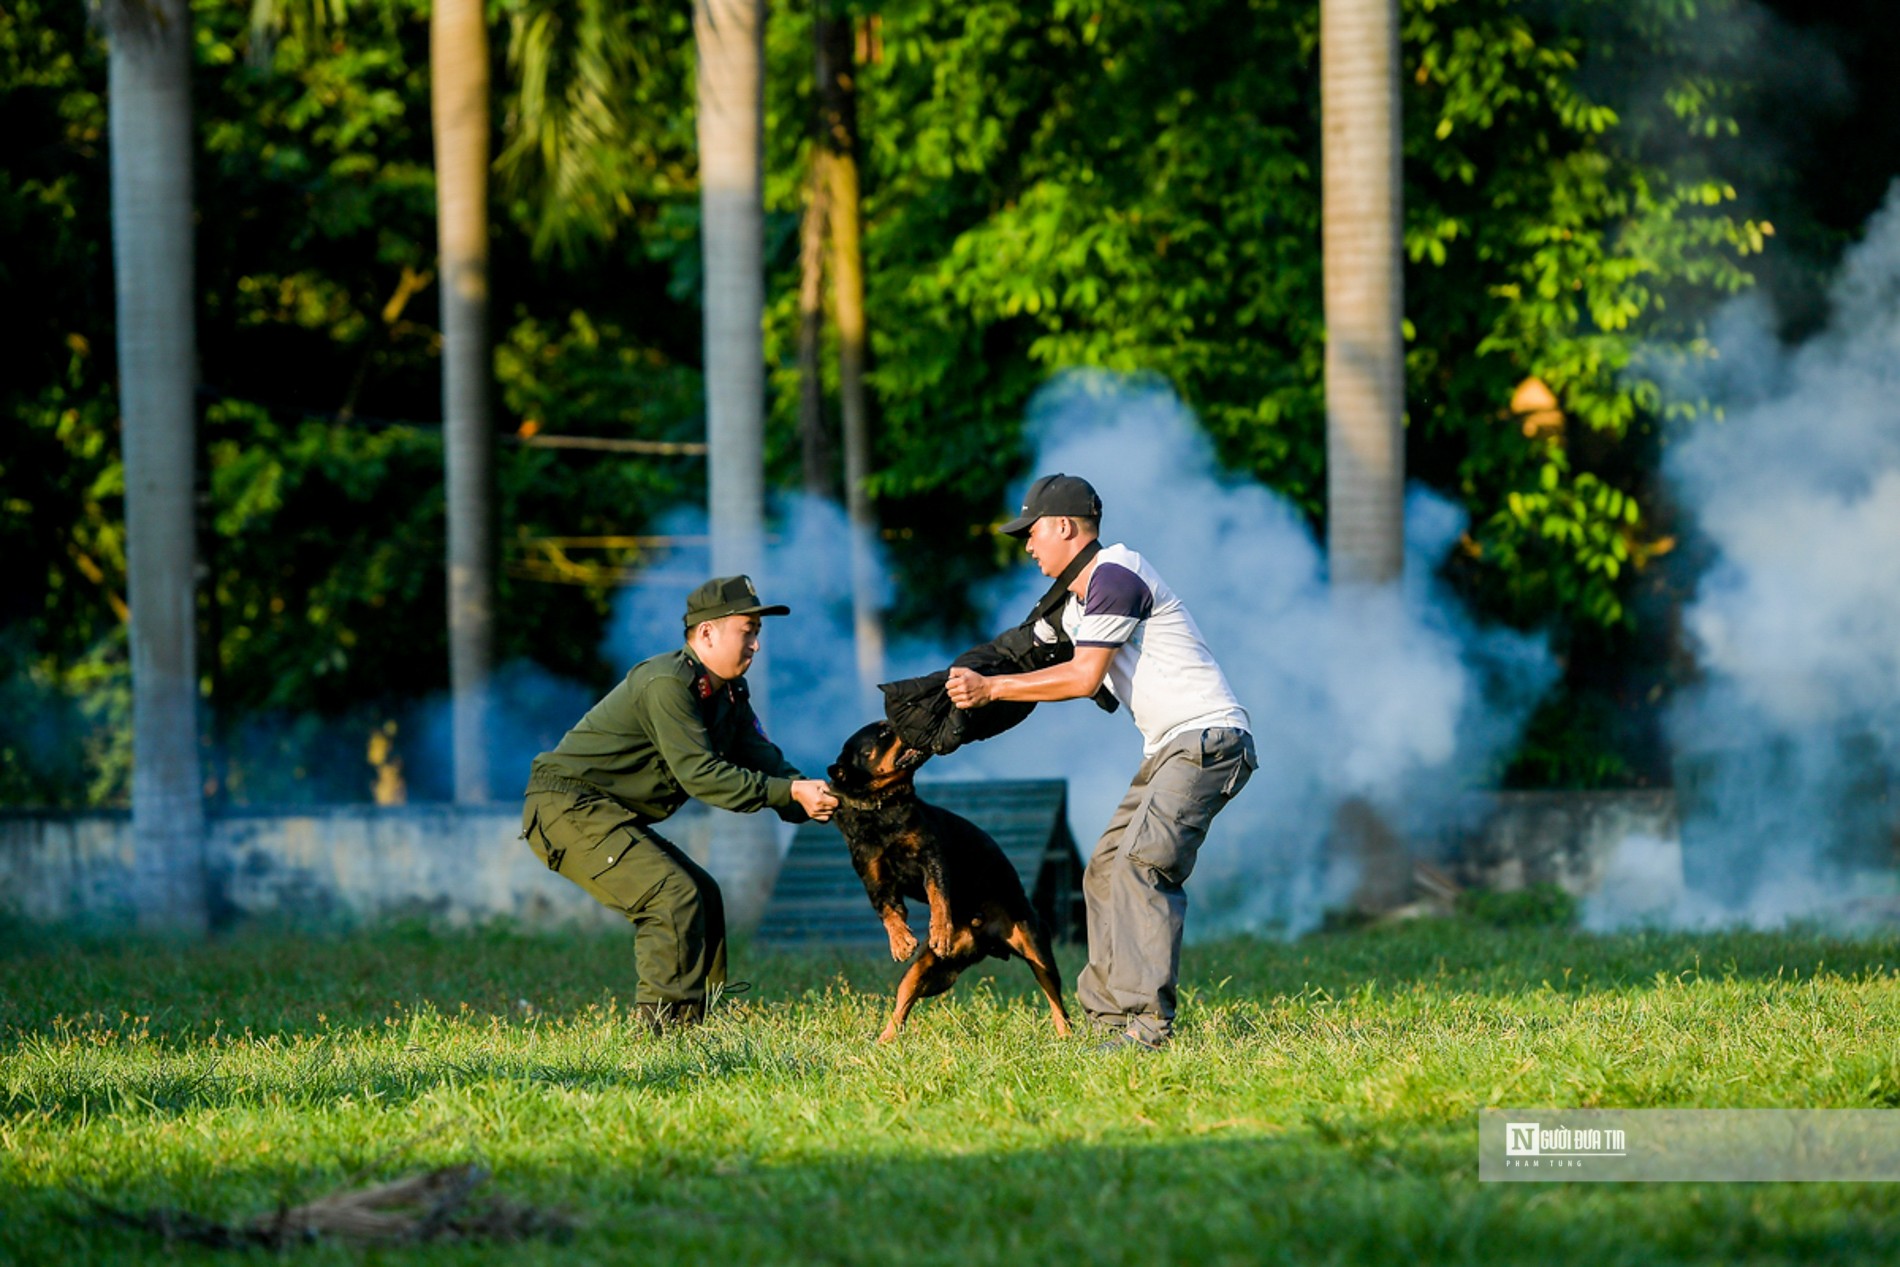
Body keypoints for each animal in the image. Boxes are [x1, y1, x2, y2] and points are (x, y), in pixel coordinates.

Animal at [828, 718, 1079, 1048]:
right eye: (883, 732)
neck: (883, 807)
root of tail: (985, 937)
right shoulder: (874, 877)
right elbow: (889, 912)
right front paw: (901, 942)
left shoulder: (931, 858)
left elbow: (938, 896)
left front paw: (940, 931)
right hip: (928, 972)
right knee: (903, 1001)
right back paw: (884, 1039)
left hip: (1035, 950)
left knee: (1056, 1001)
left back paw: (1066, 1036)